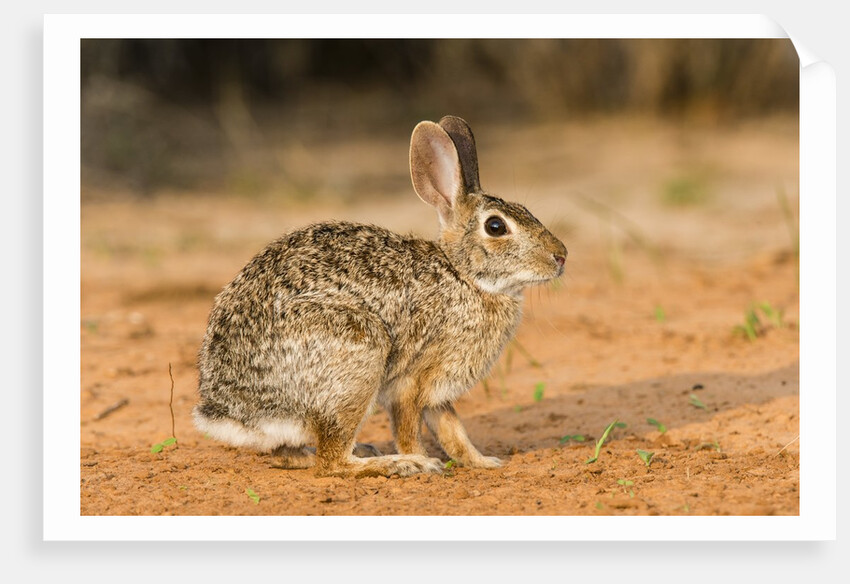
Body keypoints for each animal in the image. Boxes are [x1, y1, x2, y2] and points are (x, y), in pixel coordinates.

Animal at [193, 115, 567, 478]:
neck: (463, 275)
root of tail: (230, 412)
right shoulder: (411, 384)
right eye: (496, 227)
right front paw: (422, 460)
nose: (561, 256)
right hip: (357, 355)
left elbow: (453, 433)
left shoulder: (437, 394)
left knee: (291, 456)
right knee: (331, 463)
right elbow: (411, 430)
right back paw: (396, 464)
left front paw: (484, 462)